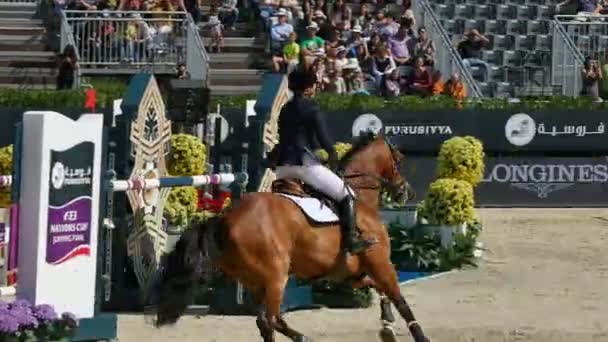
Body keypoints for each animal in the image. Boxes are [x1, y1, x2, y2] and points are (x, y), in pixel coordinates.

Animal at [157, 134, 432, 342]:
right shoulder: (380, 262)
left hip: (254, 280)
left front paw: (387, 322)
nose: (406, 192)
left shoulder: (348, 272)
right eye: (399, 160)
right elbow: (400, 299)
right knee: (272, 319)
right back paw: (303, 338)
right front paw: (418, 335)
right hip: (275, 275)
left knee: (264, 322)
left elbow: (376, 287)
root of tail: (224, 219)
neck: (360, 196)